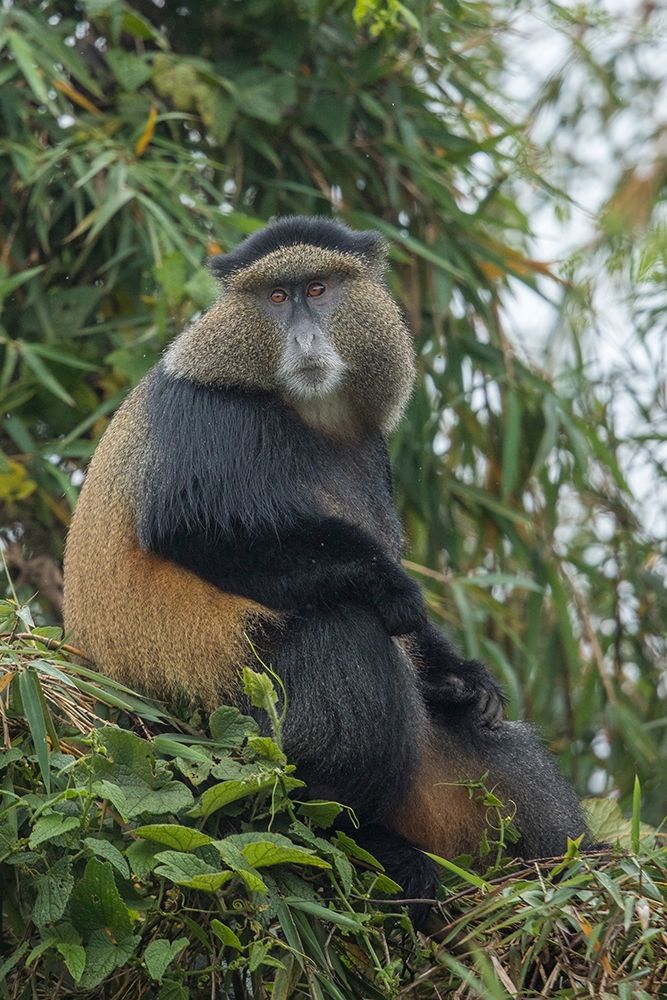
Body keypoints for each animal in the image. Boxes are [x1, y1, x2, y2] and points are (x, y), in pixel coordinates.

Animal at [63, 215, 589, 912]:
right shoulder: (208, 418)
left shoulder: (375, 452)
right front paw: (393, 590)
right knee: (341, 628)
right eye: (276, 297)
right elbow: (200, 531)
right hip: (216, 735)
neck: (310, 415)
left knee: (495, 744)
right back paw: (355, 835)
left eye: (318, 288)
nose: (306, 335)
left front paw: (461, 676)